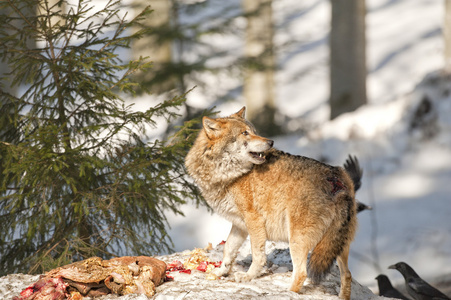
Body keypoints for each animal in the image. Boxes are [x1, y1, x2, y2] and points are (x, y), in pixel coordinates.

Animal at [185, 106, 360, 298]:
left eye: (254, 131)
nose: (271, 142)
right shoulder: (239, 225)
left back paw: (288, 293)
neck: (229, 175)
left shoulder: (254, 221)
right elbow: (228, 250)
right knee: (347, 275)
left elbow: (257, 256)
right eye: (245, 133)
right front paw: (220, 272)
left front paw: (247, 277)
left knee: (302, 273)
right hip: (337, 245)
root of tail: (338, 181)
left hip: (297, 240)